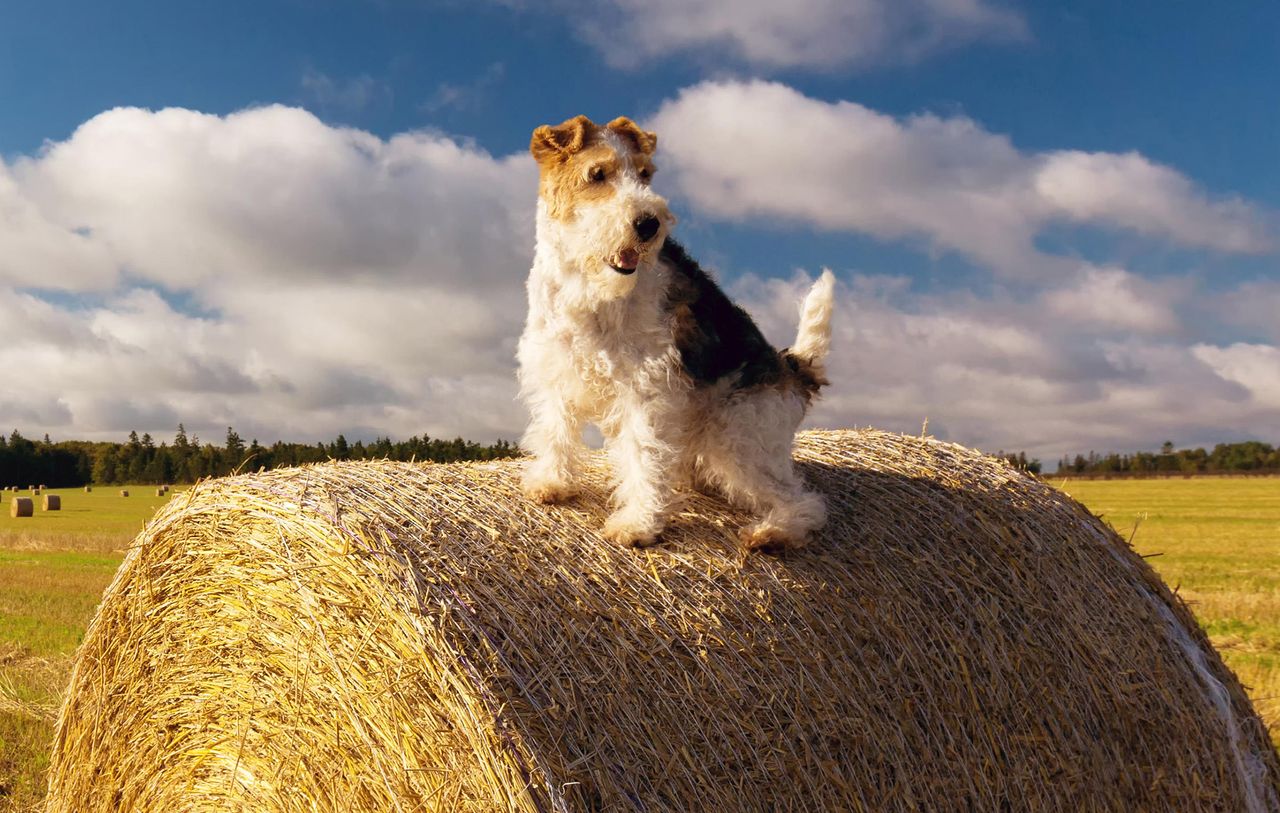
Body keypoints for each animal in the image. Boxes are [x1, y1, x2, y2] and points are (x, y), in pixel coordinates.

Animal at [514, 114, 834, 553]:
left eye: (645, 174)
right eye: (597, 174)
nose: (648, 224)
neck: (588, 284)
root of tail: (793, 370)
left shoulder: (646, 386)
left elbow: (643, 454)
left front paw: (638, 524)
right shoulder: (555, 366)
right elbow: (555, 429)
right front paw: (549, 483)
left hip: (736, 438)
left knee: (805, 501)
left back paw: (770, 533)